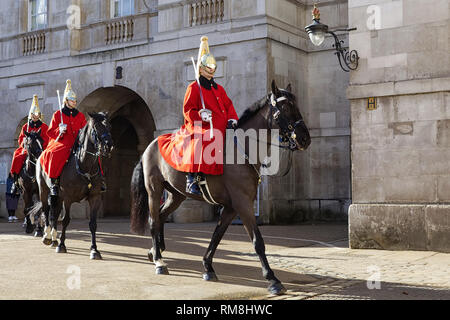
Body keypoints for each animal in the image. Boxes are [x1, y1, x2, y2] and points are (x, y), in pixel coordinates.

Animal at [29, 114, 113, 258]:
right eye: (96, 127)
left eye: (109, 126)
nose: (109, 145)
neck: (84, 166)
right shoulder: (67, 198)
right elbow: (66, 220)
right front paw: (62, 245)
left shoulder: (95, 197)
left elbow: (93, 223)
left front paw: (94, 250)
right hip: (44, 191)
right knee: (46, 211)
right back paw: (47, 236)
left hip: (57, 196)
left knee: (54, 213)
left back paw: (54, 239)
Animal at [130, 80, 312, 296]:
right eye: (285, 108)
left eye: (297, 106)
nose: (305, 139)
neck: (242, 151)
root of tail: (150, 146)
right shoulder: (243, 204)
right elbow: (257, 241)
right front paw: (272, 279)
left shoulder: (232, 207)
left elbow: (217, 236)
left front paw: (208, 267)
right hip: (154, 190)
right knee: (153, 220)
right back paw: (159, 261)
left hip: (176, 195)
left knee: (161, 216)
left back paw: (155, 250)